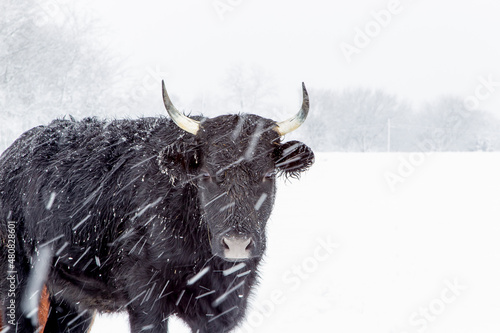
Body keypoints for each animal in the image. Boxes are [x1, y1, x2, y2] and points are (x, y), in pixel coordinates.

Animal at [0, 81, 312, 332]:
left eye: (268, 175)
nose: (237, 243)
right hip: (20, 285)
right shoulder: (146, 298)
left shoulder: (221, 310)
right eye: (207, 175)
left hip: (72, 301)